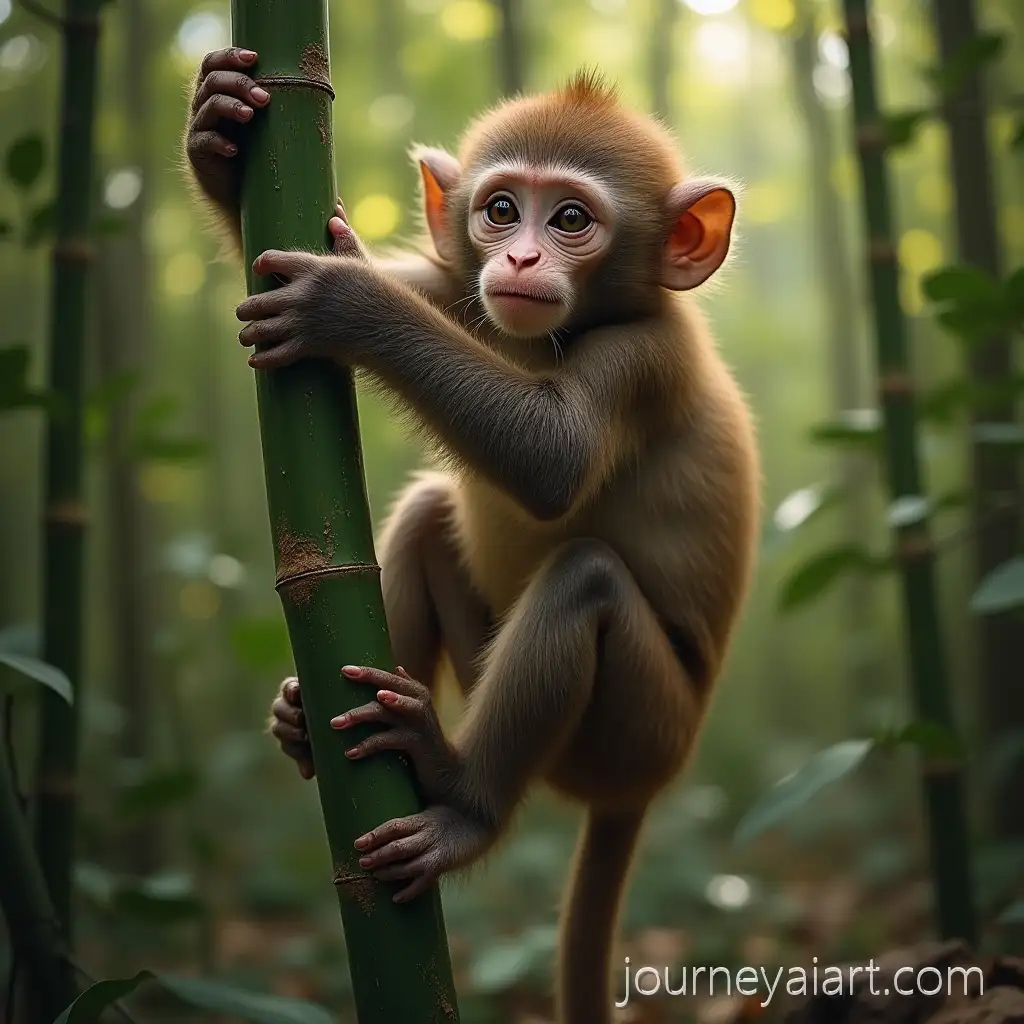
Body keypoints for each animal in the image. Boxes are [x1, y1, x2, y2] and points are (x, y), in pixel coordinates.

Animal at [185, 49, 760, 1024]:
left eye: (570, 219)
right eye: (499, 211)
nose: (521, 257)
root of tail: (642, 789)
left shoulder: (649, 356)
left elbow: (551, 459)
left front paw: (346, 303)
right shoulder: (462, 289)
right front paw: (220, 132)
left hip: (634, 732)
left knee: (584, 579)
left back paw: (460, 800)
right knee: (425, 513)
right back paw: (319, 725)